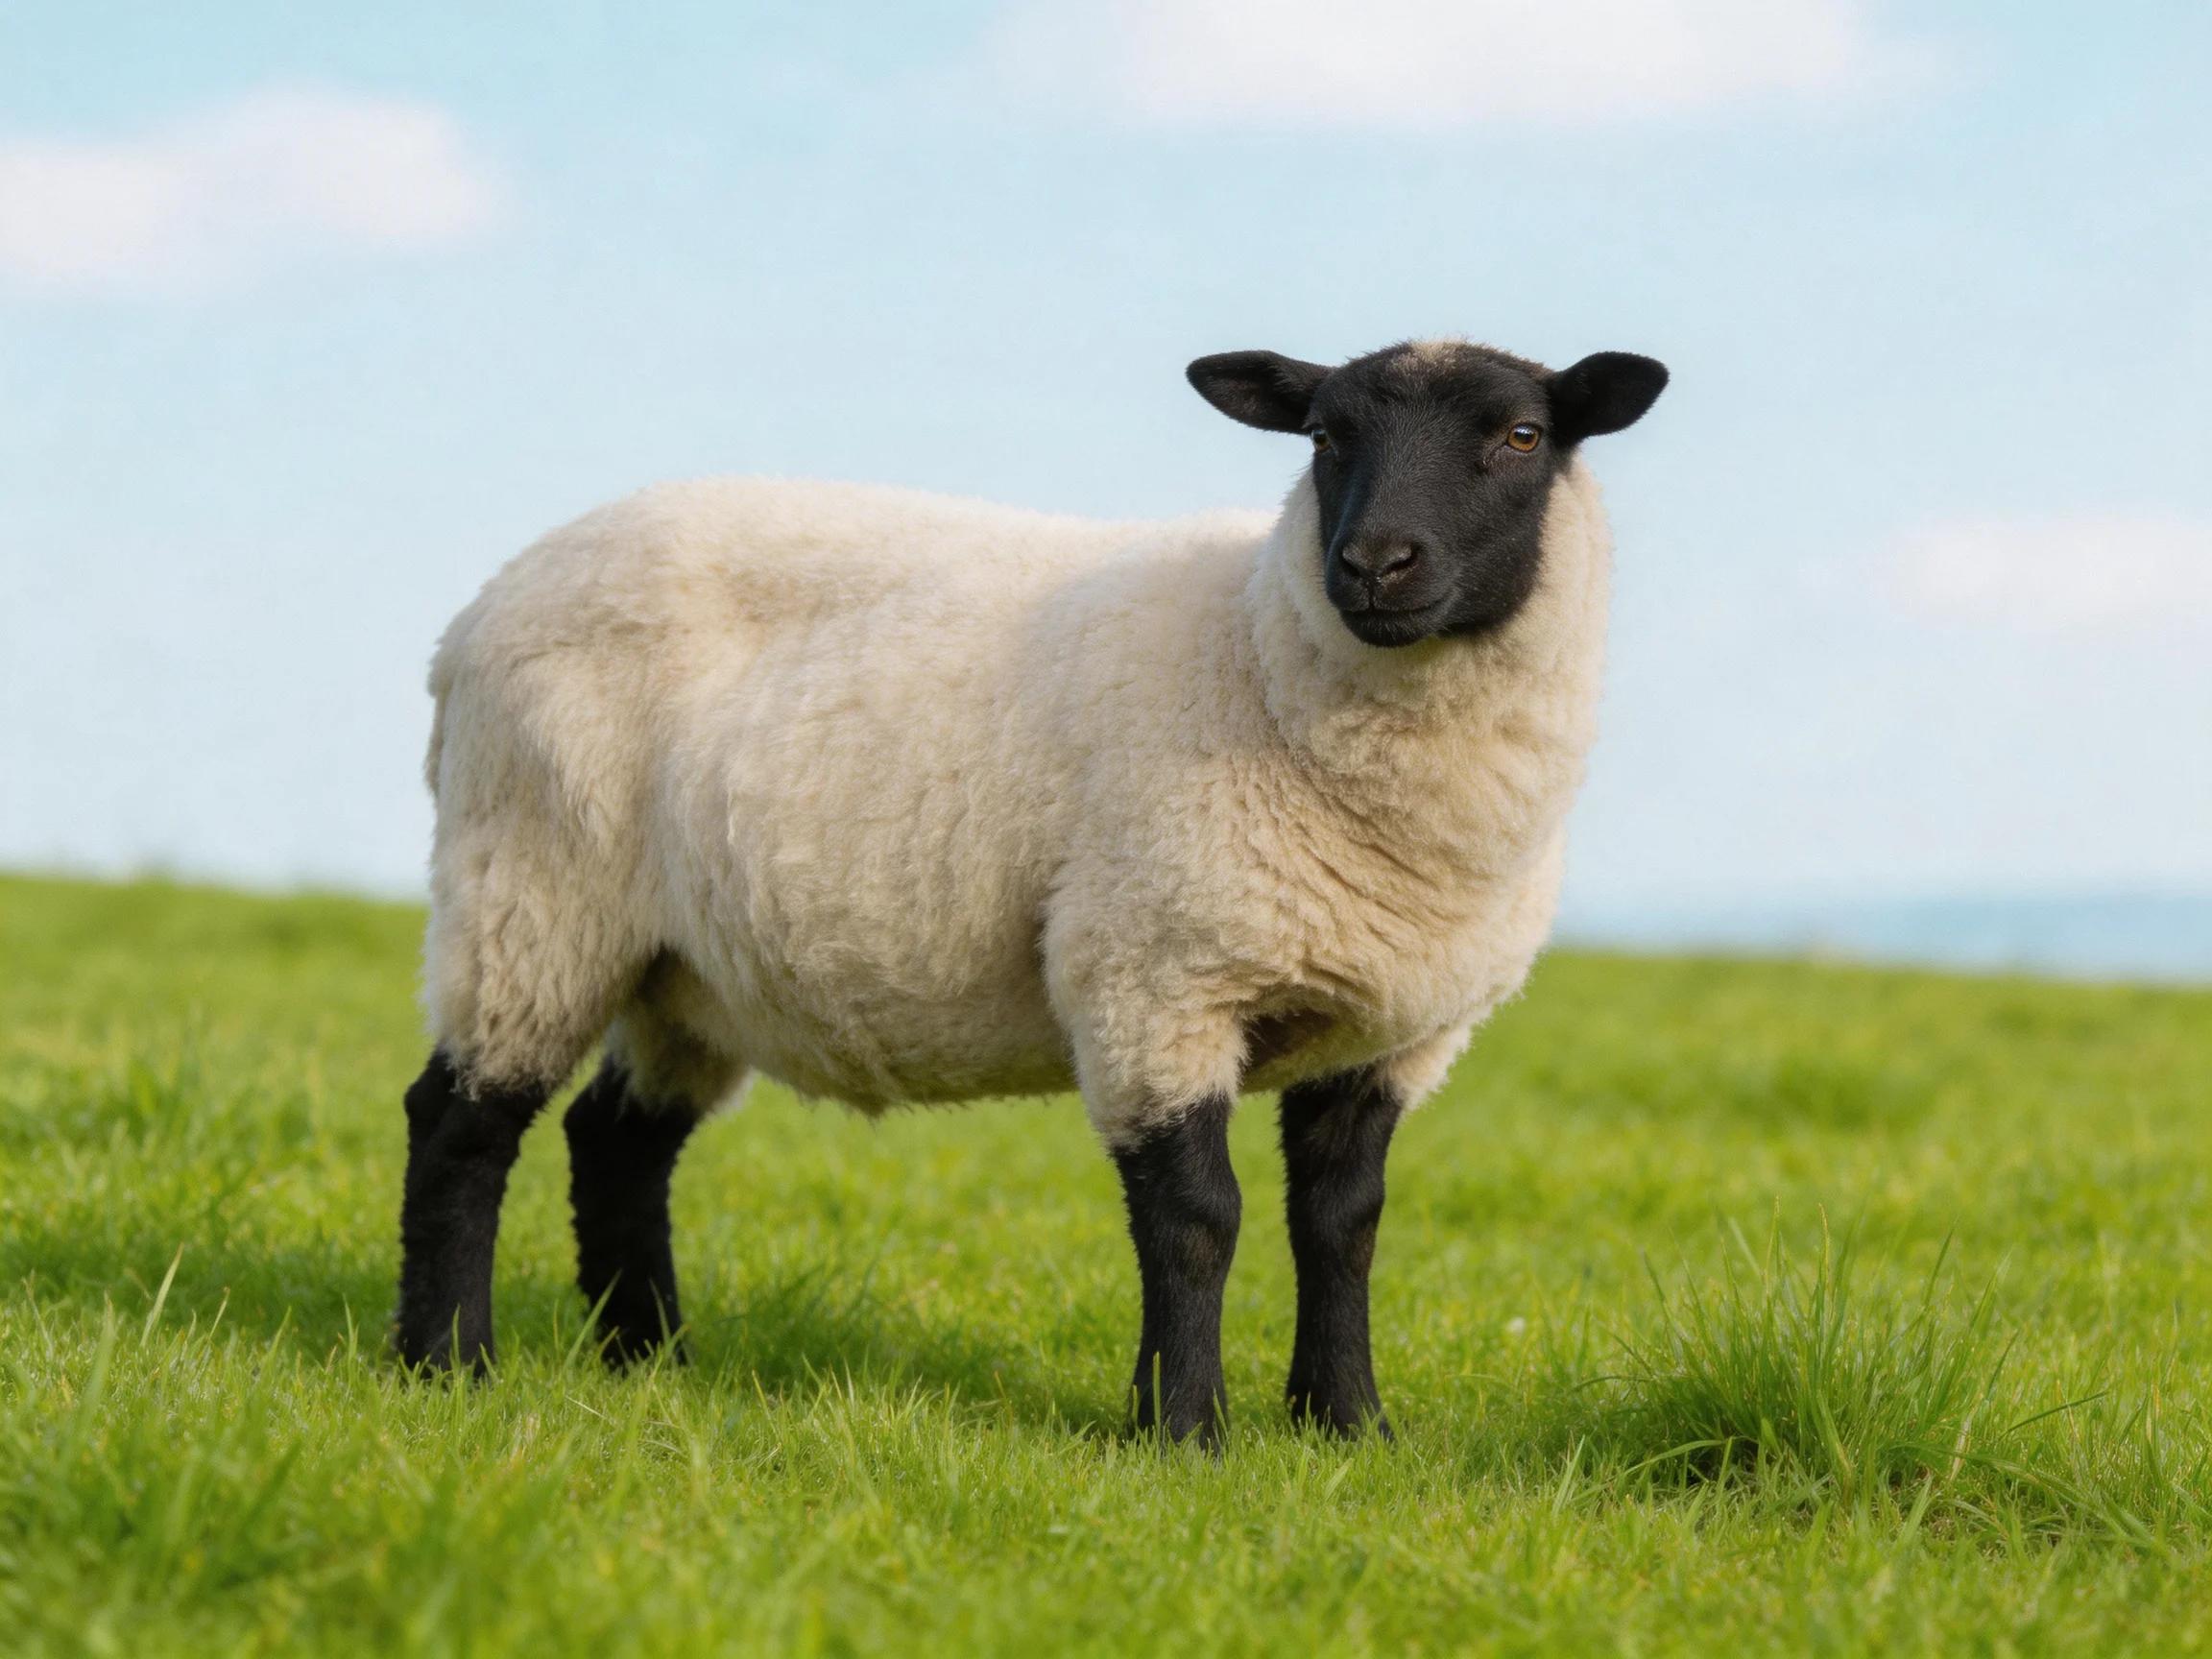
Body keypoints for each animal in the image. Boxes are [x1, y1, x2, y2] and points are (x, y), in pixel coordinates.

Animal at [395, 337, 1668, 1444]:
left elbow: (1342, 1224)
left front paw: (1349, 1427)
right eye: (1322, 435)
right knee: (460, 1125)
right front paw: (1184, 1435)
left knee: (617, 1143)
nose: (1372, 565)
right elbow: (1196, 1220)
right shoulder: (1155, 979)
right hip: (532, 888)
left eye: (1521, 435)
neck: (1259, 652)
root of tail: (474, 617)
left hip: (685, 967)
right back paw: (446, 1364)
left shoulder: (1394, 1029)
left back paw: (650, 1361)